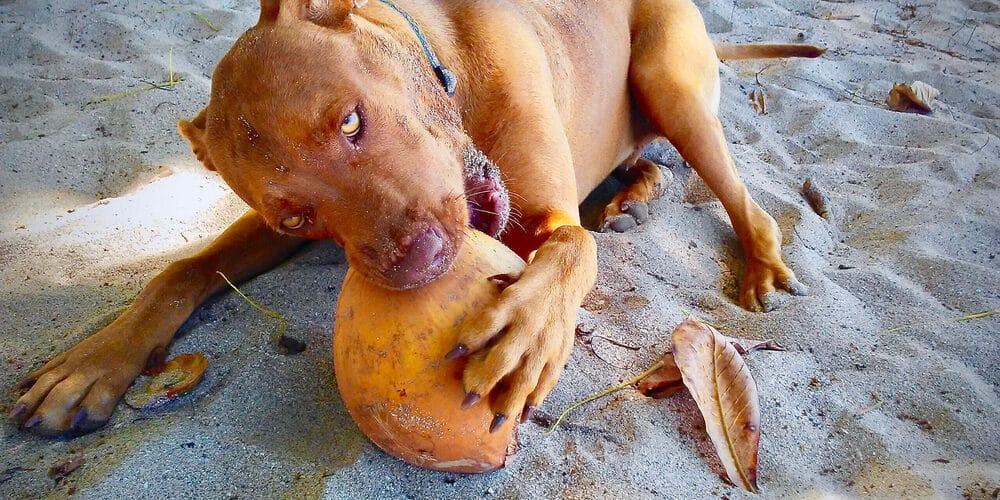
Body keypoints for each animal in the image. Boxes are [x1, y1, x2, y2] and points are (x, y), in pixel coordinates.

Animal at [9, 0, 820, 438]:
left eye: (351, 121)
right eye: (296, 216)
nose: (420, 261)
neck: (448, 62)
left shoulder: (553, 219)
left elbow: (568, 256)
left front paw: (526, 336)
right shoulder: (260, 230)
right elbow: (180, 267)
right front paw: (93, 363)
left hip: (671, 81)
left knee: (742, 199)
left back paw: (757, 260)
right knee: (647, 162)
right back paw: (635, 196)